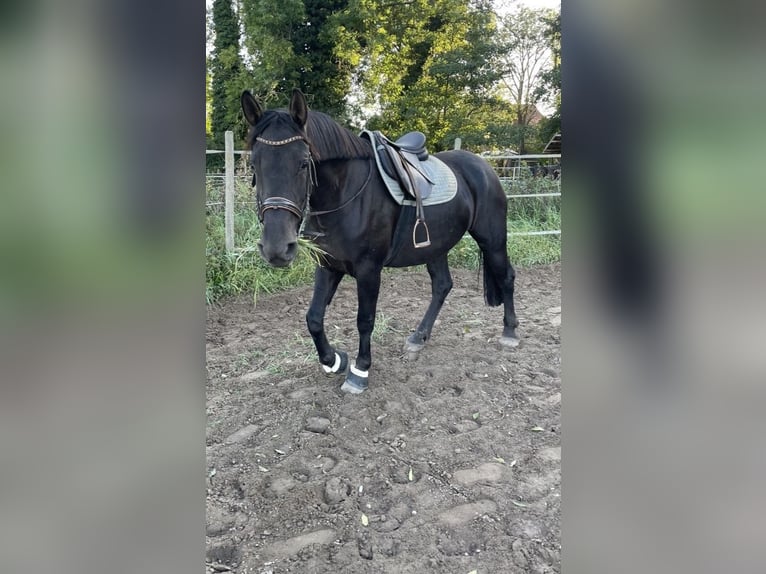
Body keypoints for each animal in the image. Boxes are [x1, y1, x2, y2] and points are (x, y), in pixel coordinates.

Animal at [241, 89, 519, 394]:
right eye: (254, 164)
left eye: (304, 163)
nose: (277, 248)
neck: (345, 194)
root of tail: (484, 166)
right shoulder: (328, 265)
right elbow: (313, 317)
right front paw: (334, 360)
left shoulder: (369, 270)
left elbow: (365, 320)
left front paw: (359, 371)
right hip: (436, 247)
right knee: (442, 286)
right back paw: (418, 337)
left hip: (492, 238)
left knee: (506, 276)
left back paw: (510, 332)